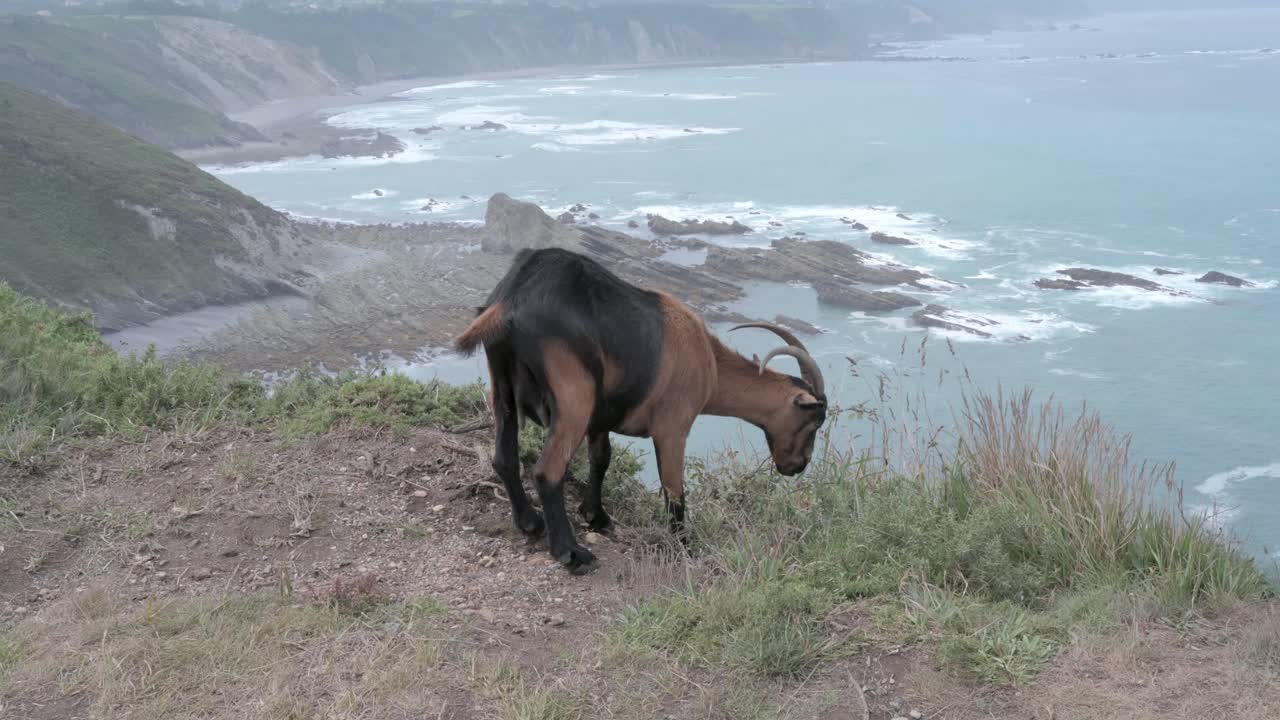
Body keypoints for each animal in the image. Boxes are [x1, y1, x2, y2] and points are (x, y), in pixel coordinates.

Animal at [454, 247, 828, 573]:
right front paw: (684, 545)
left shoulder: (601, 417)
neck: (709, 362)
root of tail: (511, 300)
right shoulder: (673, 426)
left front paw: (596, 516)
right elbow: (674, 490)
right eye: (813, 422)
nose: (797, 466)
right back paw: (572, 554)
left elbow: (601, 459)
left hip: (502, 384)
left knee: (504, 457)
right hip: (574, 394)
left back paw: (530, 522)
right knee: (548, 471)